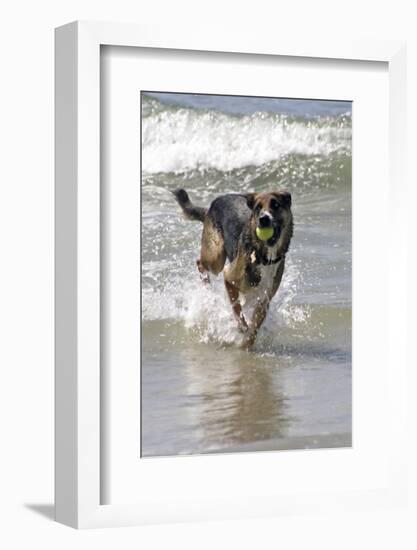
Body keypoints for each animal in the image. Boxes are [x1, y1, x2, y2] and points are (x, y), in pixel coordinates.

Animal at [172, 190, 292, 350]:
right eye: (258, 208)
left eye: (276, 205)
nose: (263, 219)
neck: (263, 256)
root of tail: (213, 204)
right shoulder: (228, 277)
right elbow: (237, 308)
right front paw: (242, 328)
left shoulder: (264, 300)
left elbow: (255, 328)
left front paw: (246, 344)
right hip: (216, 257)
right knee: (200, 263)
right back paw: (206, 287)